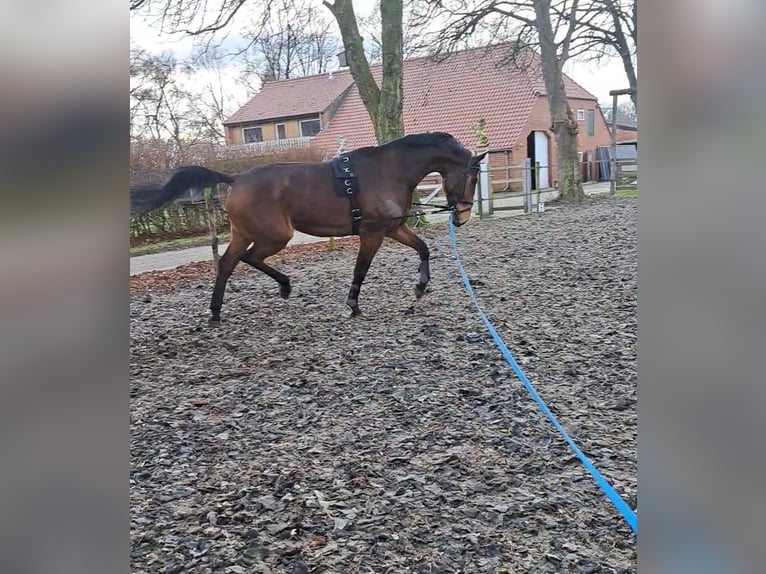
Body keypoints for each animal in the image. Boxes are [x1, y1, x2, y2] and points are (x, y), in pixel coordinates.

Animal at [130, 133, 486, 326]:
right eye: (471, 177)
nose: (462, 217)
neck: (389, 171)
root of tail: (235, 178)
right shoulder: (372, 233)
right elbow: (361, 270)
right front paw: (352, 305)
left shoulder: (393, 228)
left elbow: (423, 248)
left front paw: (420, 287)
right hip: (275, 235)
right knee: (246, 260)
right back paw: (278, 288)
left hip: (246, 234)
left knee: (229, 263)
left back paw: (221, 310)